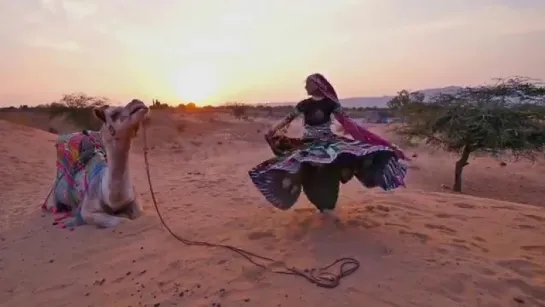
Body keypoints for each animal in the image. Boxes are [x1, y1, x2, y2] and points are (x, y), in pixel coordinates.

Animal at [43, 99, 150, 229]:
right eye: (114, 114)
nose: (137, 102)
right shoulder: (87, 210)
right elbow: (124, 221)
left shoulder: (135, 199)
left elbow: (139, 214)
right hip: (53, 199)